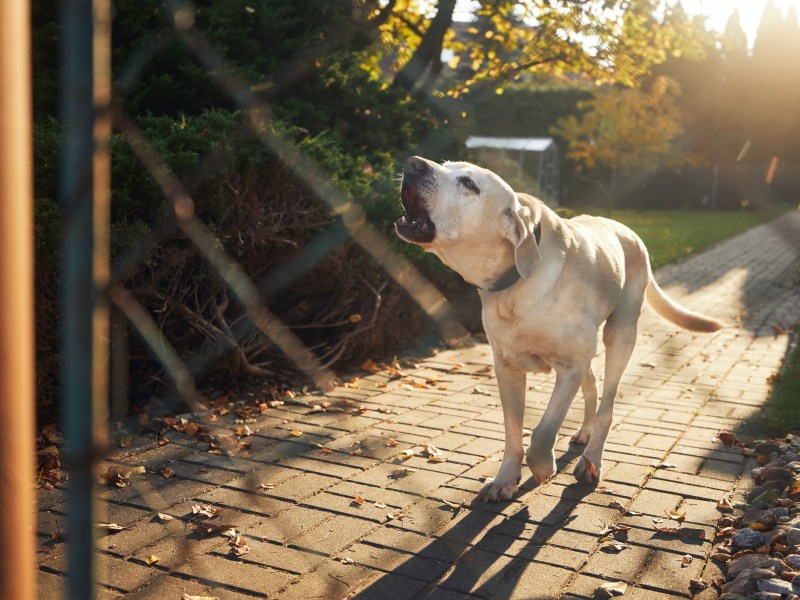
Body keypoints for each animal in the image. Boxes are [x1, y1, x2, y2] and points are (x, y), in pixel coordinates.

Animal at [394, 157, 724, 504]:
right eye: (445, 165)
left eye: (469, 184)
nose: (414, 163)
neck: (517, 284)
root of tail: (627, 230)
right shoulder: (508, 369)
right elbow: (513, 432)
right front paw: (505, 479)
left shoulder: (570, 367)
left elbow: (542, 432)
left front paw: (542, 468)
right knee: (592, 388)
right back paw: (585, 433)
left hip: (620, 334)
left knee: (607, 404)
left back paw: (591, 460)